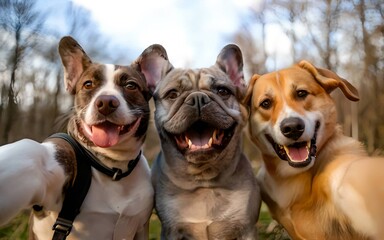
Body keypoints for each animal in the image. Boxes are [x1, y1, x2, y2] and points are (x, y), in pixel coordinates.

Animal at [140, 44, 262, 239]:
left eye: (222, 91)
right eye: (172, 94)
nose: (198, 98)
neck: (203, 180)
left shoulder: (246, 228)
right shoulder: (172, 231)